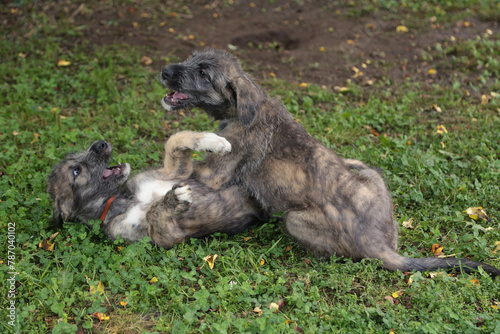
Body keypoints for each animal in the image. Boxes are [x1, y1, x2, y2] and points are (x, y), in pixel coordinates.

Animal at [48, 131, 264, 248]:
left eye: (79, 154)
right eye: (76, 171)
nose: (100, 143)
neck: (125, 199)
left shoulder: (174, 173)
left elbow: (175, 141)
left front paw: (212, 141)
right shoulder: (166, 237)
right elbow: (154, 212)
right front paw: (174, 200)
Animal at [160, 47, 500, 276]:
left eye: (203, 73)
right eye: (191, 60)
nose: (164, 71)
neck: (240, 109)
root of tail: (377, 244)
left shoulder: (214, 174)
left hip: (294, 220)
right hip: (374, 178)